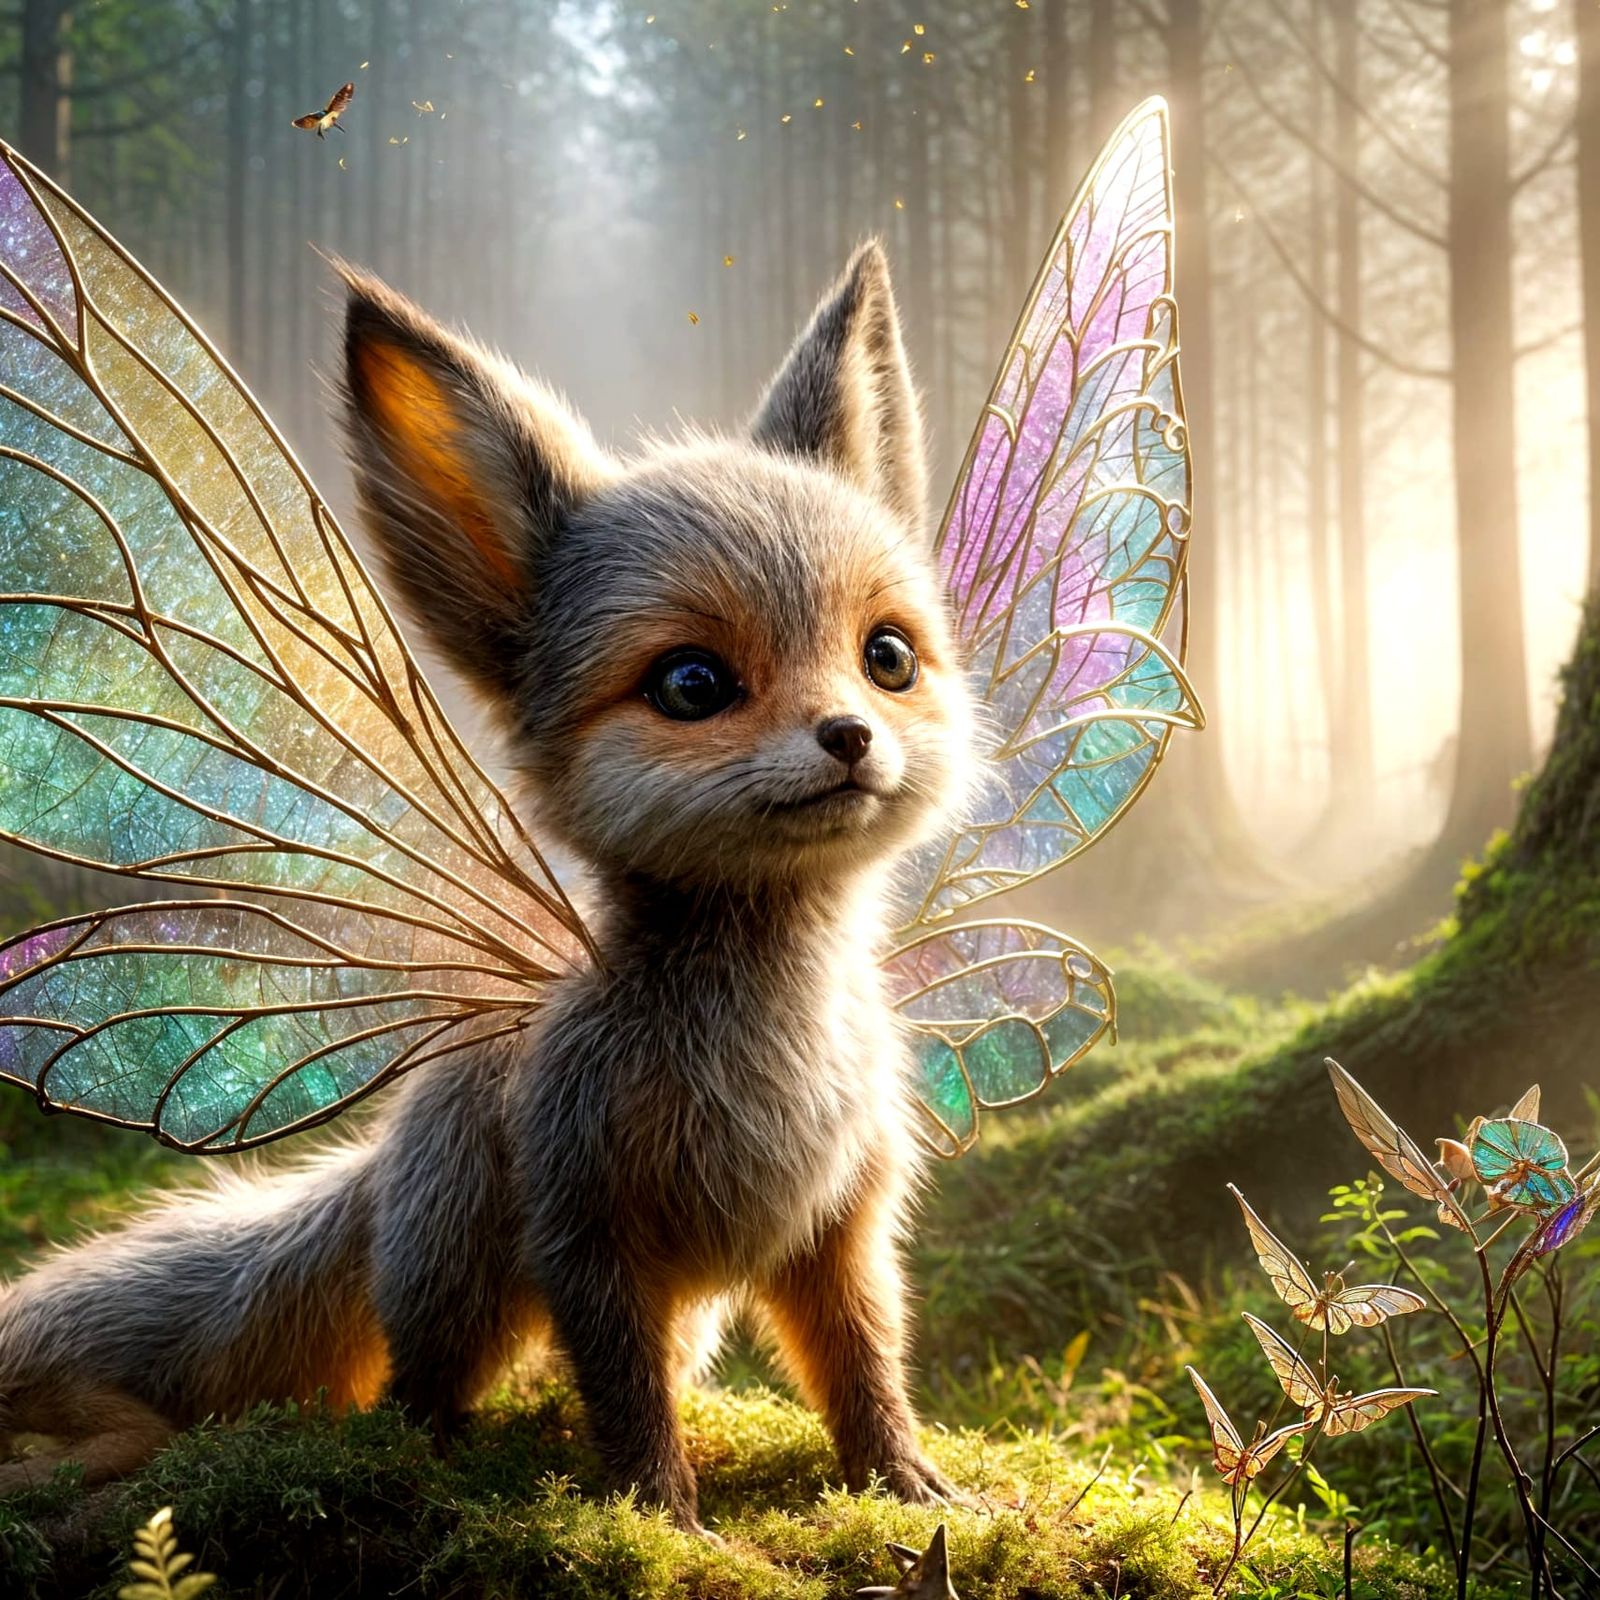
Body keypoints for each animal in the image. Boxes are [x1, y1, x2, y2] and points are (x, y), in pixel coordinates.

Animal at [0, 240, 977, 1537]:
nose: (851, 737)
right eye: (692, 682)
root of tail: (391, 1140)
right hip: (457, 1272)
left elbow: (865, 1370)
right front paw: (664, 1523)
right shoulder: (582, 1231)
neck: (769, 1066)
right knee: (417, 1393)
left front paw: (911, 1489)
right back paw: (408, 1464)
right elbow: (626, 1397)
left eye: (888, 657)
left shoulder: (843, 1225)